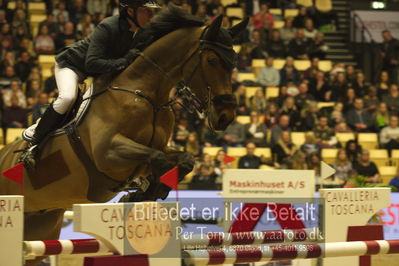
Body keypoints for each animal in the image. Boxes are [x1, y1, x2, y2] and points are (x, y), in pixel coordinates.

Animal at [0, 5, 248, 264]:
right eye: (211, 60)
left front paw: (146, 191)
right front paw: (143, 191)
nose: (226, 116)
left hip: (41, 225)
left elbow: (184, 160)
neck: (147, 95)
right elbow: (157, 158)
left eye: (233, 63)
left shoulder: (159, 147)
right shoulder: (108, 153)